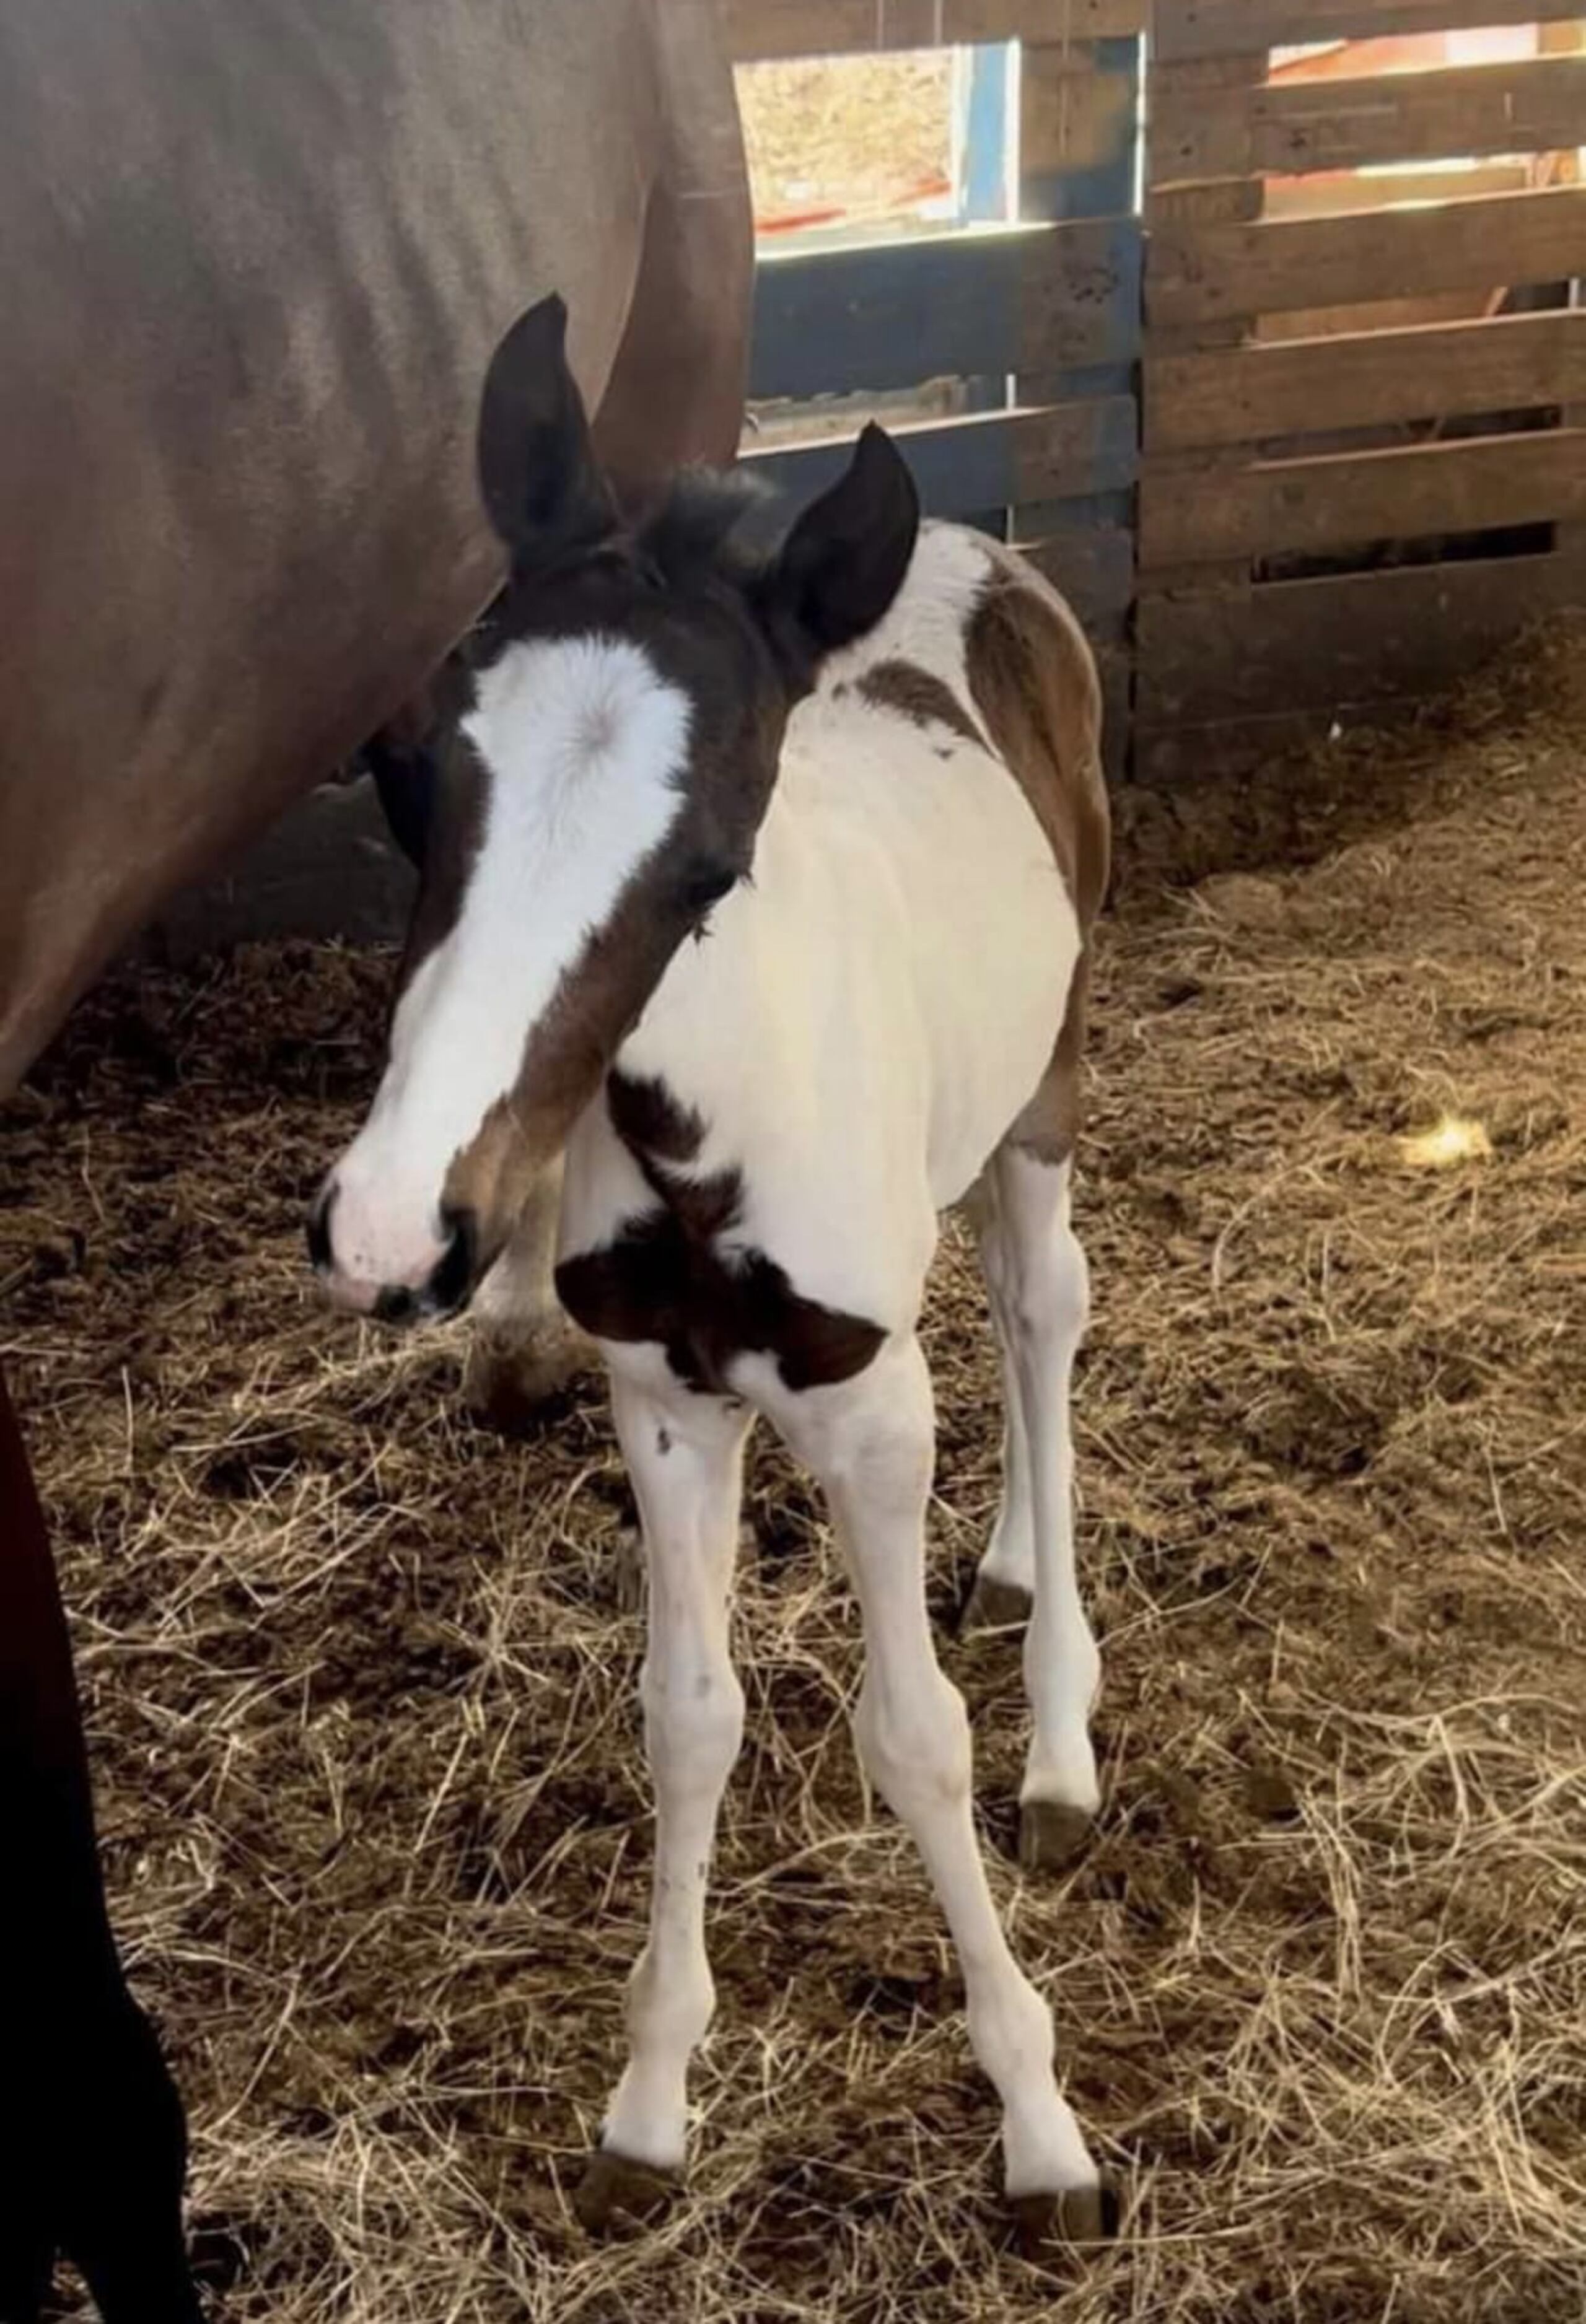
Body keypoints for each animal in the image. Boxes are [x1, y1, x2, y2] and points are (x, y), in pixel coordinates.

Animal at [304, 300, 1097, 2240]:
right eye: (416, 778)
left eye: (710, 857)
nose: (389, 1230)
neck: (702, 1139)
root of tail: (971, 548)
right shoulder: (663, 1403)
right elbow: (687, 1718)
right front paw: (650, 2106)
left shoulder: (866, 1409)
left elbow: (913, 1738)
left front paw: (1037, 2122)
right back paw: (1006, 1576)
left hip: (1044, 1092)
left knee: (1040, 1315)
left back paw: (1062, 1737)